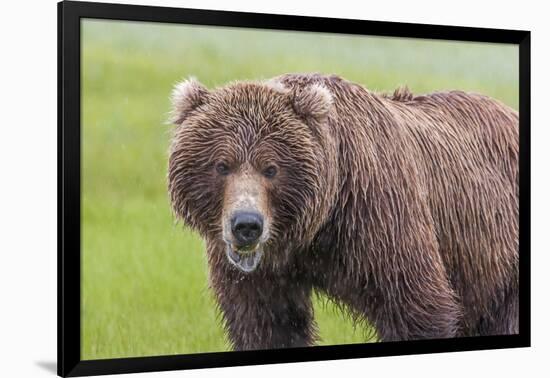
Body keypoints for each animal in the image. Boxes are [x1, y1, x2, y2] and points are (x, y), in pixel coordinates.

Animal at [166, 72, 520, 350]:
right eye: (221, 165)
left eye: (271, 168)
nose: (247, 225)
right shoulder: (263, 273)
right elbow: (266, 323)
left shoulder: (378, 214)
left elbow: (416, 306)